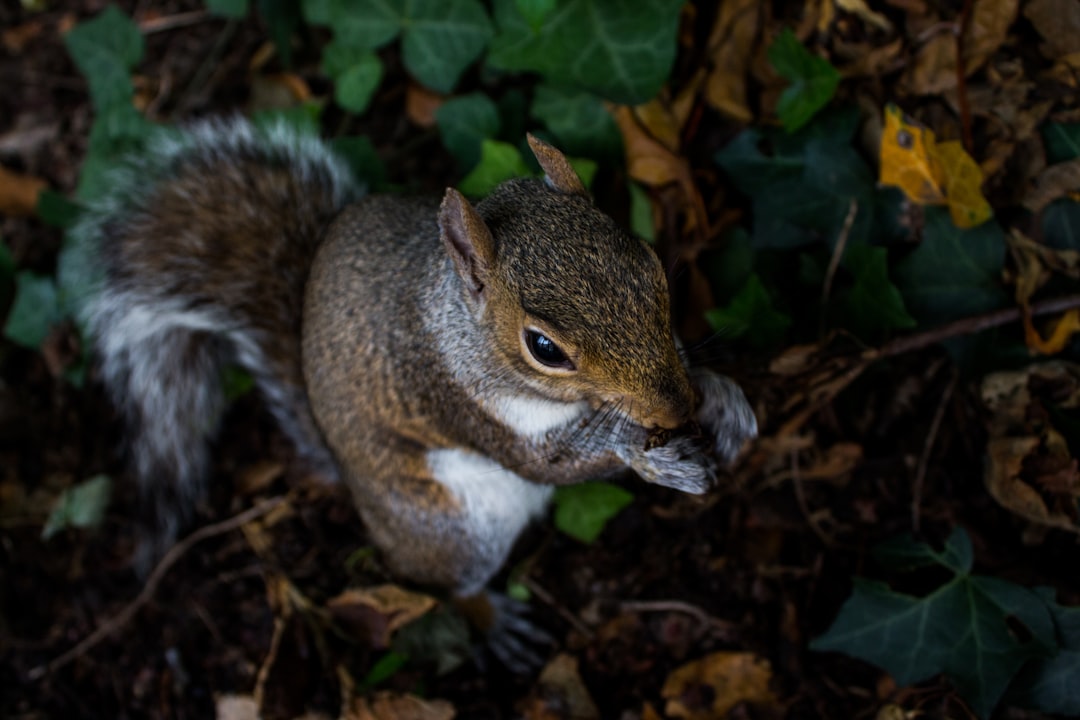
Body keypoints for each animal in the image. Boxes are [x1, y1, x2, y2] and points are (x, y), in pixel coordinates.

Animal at [73, 118, 760, 664]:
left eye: (650, 265)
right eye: (544, 348)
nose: (674, 408)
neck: (460, 325)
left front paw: (722, 400)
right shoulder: (452, 397)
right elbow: (548, 464)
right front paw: (652, 459)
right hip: (449, 531)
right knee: (448, 587)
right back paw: (492, 622)